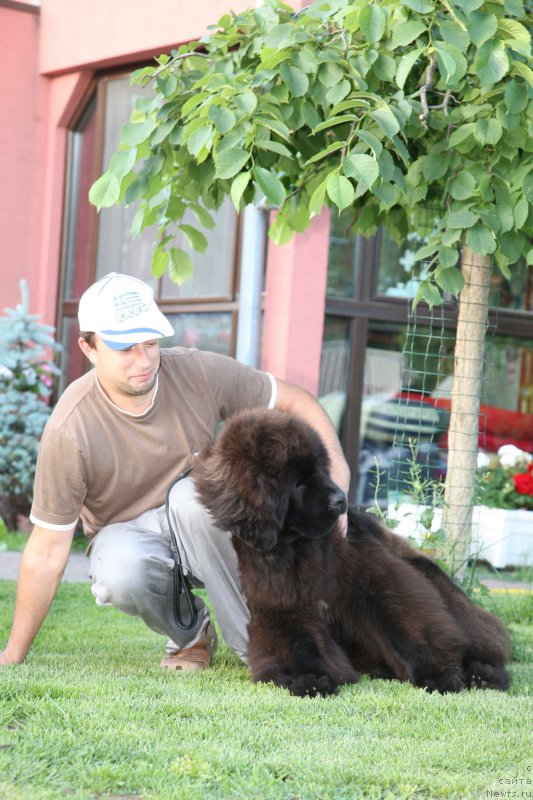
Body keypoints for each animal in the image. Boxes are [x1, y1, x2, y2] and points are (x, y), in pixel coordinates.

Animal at [193, 410, 510, 696]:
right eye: (298, 482)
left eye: (321, 469)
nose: (340, 499)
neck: (298, 546)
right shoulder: (282, 605)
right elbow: (298, 643)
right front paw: (309, 678)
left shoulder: (376, 582)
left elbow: (406, 625)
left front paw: (437, 673)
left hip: (435, 582)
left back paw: (484, 674)